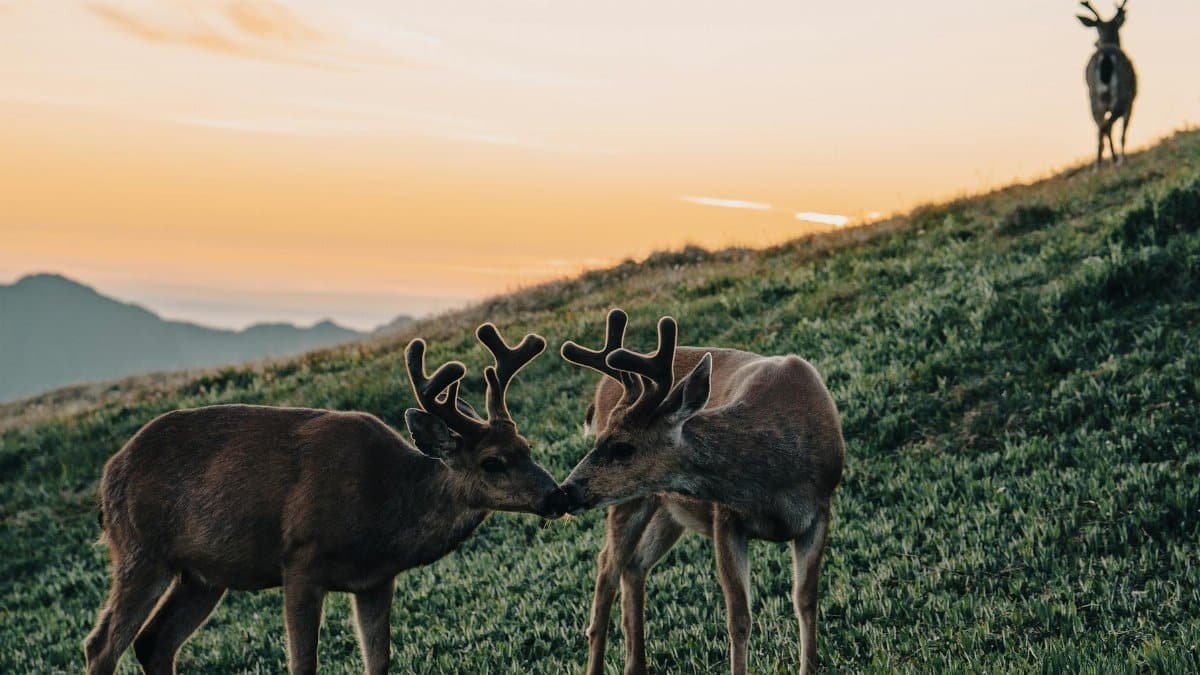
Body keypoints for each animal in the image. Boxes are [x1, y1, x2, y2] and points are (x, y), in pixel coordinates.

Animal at [83, 322, 568, 675]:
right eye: (492, 462)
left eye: (526, 446)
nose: (557, 496)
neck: (386, 505)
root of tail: (108, 478)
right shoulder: (300, 559)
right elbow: (303, 664)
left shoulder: (375, 580)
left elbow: (378, 662)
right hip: (141, 549)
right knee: (101, 645)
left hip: (202, 574)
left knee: (154, 642)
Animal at [558, 309, 846, 675]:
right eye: (601, 440)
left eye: (623, 447)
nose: (566, 490)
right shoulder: (725, 517)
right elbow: (739, 619)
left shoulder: (820, 510)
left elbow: (805, 600)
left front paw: (810, 666)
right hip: (633, 500)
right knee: (607, 565)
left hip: (669, 509)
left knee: (634, 566)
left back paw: (637, 665)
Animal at [1078, 0, 1137, 169]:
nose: (1095, 43)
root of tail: (1105, 56)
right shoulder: (1132, 101)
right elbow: (1123, 133)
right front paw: (1121, 159)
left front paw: (1113, 158)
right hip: (1123, 93)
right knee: (1109, 125)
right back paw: (1115, 160)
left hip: (1093, 98)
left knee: (1101, 127)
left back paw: (1098, 165)